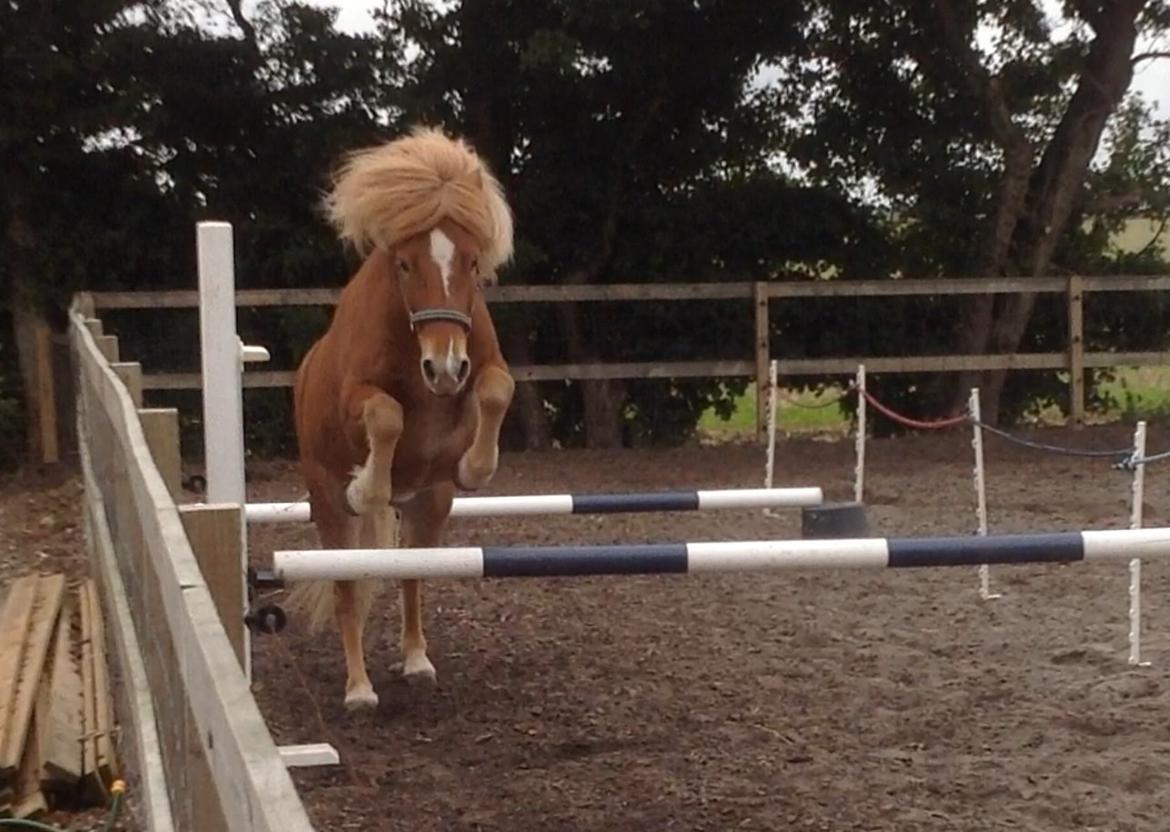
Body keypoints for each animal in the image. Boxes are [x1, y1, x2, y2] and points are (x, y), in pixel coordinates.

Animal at [290, 126, 514, 711]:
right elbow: (386, 415)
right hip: (328, 511)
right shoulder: (358, 402)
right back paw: (359, 688)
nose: (444, 367)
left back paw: (416, 661)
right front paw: (367, 485)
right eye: (406, 264)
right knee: (346, 588)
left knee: (411, 573)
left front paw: (475, 466)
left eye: (472, 264)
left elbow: (496, 390)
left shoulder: (482, 370)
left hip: (428, 506)